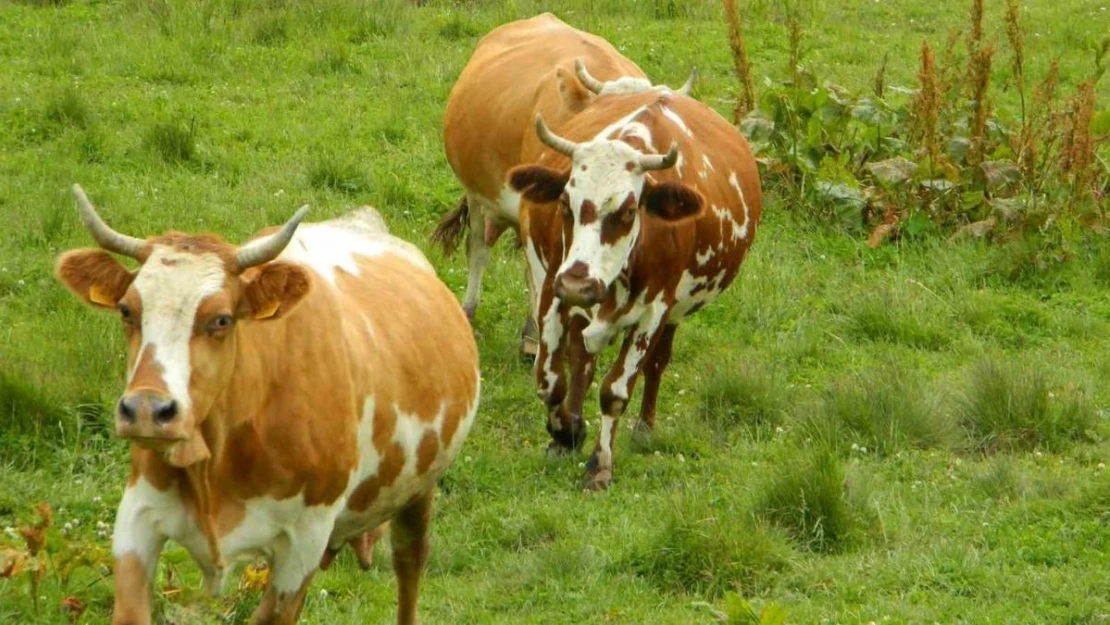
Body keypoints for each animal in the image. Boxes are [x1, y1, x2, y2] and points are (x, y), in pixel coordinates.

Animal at [55, 187, 481, 625]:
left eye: (222, 319)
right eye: (127, 310)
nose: (146, 410)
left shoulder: (305, 541)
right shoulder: (138, 516)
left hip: (419, 489)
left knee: (409, 562)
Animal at [508, 89, 763, 488]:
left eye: (628, 211)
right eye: (565, 202)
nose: (579, 283)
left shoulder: (655, 309)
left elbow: (615, 391)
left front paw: (600, 465)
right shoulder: (553, 288)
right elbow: (550, 381)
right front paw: (565, 434)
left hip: (675, 311)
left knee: (657, 362)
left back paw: (644, 428)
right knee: (582, 359)